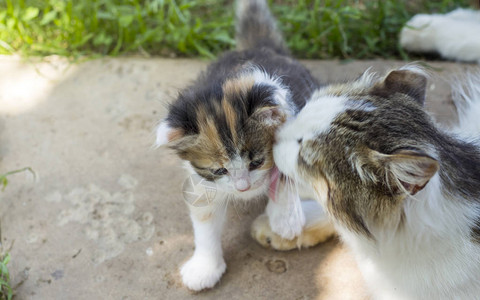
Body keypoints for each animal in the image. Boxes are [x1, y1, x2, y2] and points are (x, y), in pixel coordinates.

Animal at [155, 0, 318, 290]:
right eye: (219, 170)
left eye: (257, 162)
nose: (243, 189)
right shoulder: (202, 182)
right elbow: (205, 218)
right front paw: (205, 266)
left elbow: (287, 166)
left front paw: (285, 219)